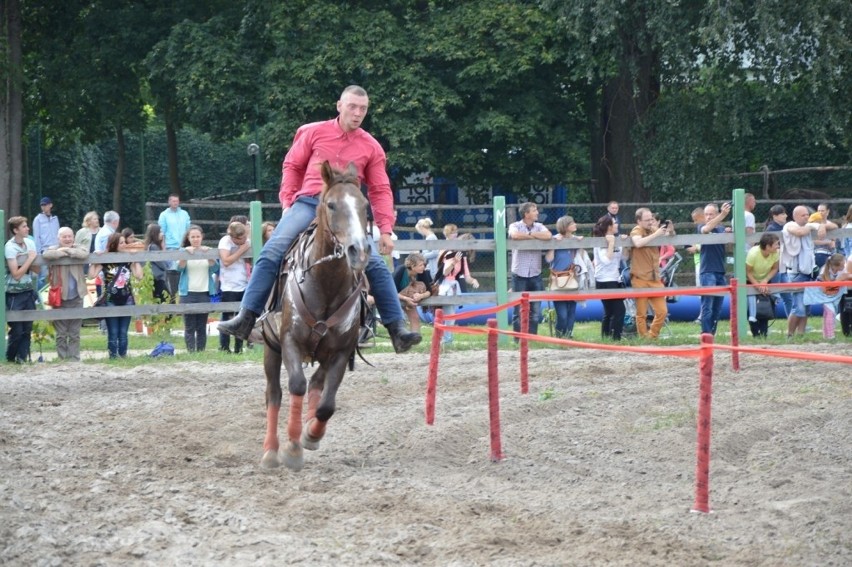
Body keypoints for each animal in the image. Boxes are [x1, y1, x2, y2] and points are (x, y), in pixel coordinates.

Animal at [262, 161, 372, 470]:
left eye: (364, 205)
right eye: (332, 205)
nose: (358, 251)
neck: (325, 283)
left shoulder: (341, 351)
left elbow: (327, 404)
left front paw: (310, 435)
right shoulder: (289, 341)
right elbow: (296, 386)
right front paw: (291, 450)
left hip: (323, 353)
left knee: (317, 385)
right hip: (270, 347)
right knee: (274, 394)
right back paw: (271, 451)